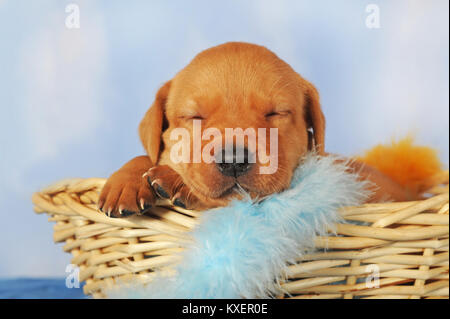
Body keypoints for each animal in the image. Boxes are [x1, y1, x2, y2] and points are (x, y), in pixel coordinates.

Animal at [99, 42, 412, 218]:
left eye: (275, 113)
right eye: (194, 117)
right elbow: (147, 156)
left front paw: (178, 183)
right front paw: (125, 182)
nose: (234, 159)